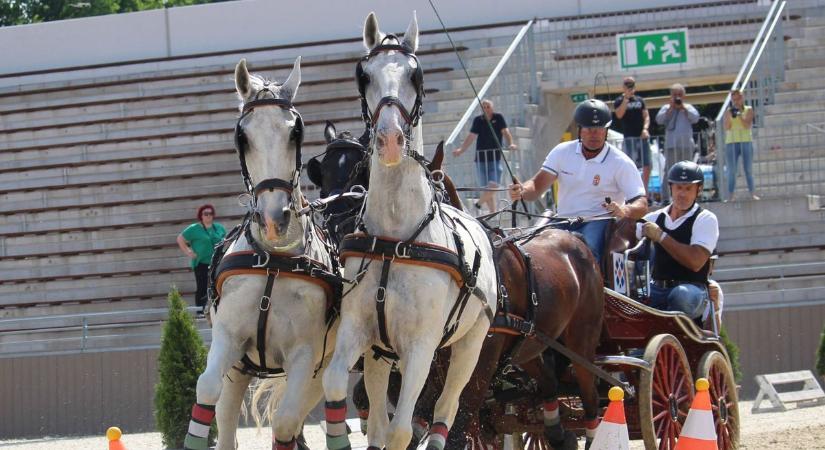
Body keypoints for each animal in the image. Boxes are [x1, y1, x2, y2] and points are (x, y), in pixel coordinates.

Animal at [184, 58, 338, 450]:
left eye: (296, 132)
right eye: (243, 137)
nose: (273, 219)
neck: (274, 261)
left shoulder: (305, 355)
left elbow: (284, 422)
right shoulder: (229, 339)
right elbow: (206, 390)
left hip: (321, 371)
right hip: (240, 371)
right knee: (226, 419)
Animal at [318, 12, 492, 450]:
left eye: (417, 74)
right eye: (364, 75)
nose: (391, 140)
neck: (396, 238)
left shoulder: (421, 348)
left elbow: (402, 430)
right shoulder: (358, 332)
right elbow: (337, 387)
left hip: (469, 346)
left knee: (447, 410)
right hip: (381, 355)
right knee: (379, 415)